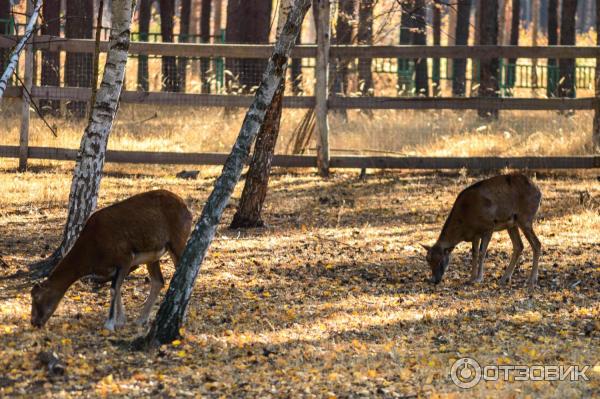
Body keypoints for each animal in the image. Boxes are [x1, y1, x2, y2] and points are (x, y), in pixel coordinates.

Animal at [31, 191, 192, 332]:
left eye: (37, 297)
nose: (34, 322)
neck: (93, 247)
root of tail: (187, 208)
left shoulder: (125, 258)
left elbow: (114, 289)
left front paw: (109, 324)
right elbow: (117, 287)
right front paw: (121, 321)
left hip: (178, 242)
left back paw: (182, 318)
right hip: (152, 256)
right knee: (158, 281)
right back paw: (140, 320)